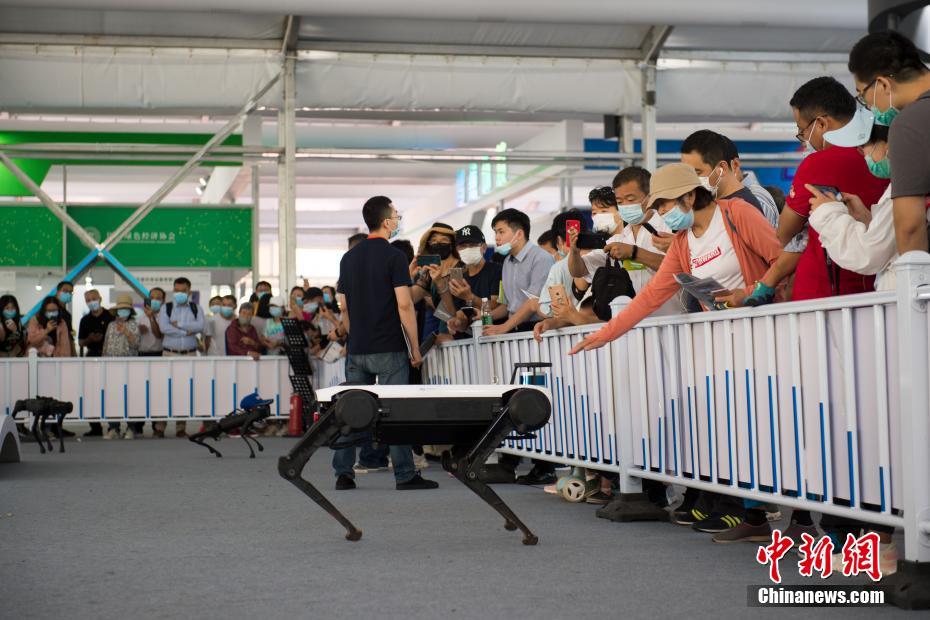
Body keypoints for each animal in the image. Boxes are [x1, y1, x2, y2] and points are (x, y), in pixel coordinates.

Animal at [274, 320, 552, 544]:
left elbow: (462, 468)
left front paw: (516, 527)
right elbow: (469, 470)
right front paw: (527, 534)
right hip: (351, 405)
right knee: (291, 465)